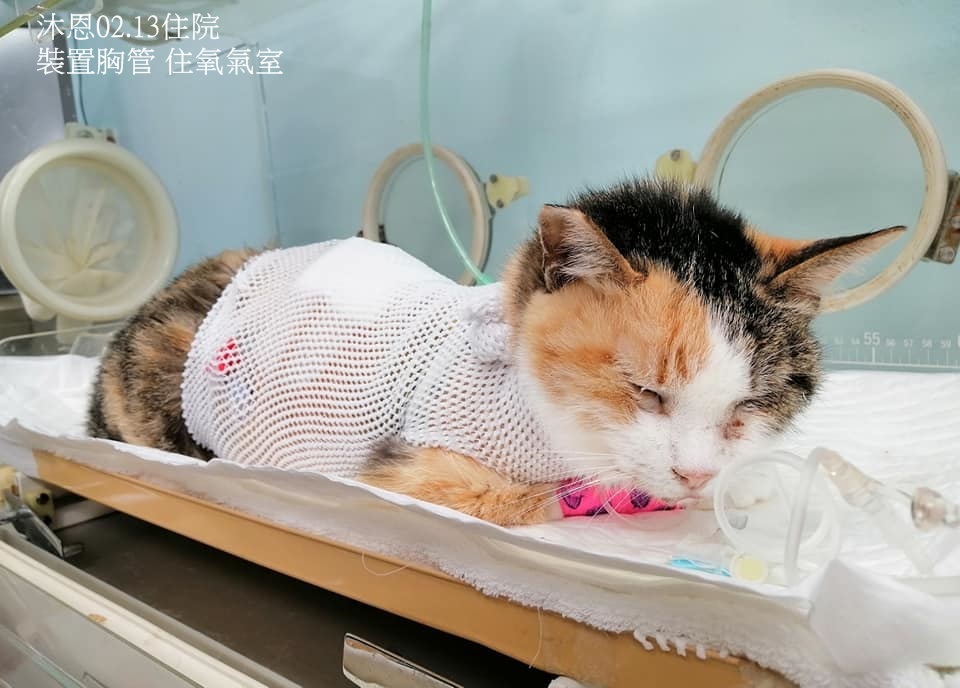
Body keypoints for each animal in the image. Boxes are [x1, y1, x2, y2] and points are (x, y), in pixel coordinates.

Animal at [87, 178, 901, 526]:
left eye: (753, 401)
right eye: (643, 391)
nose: (698, 474)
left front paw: (744, 479)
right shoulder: (412, 468)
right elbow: (547, 494)